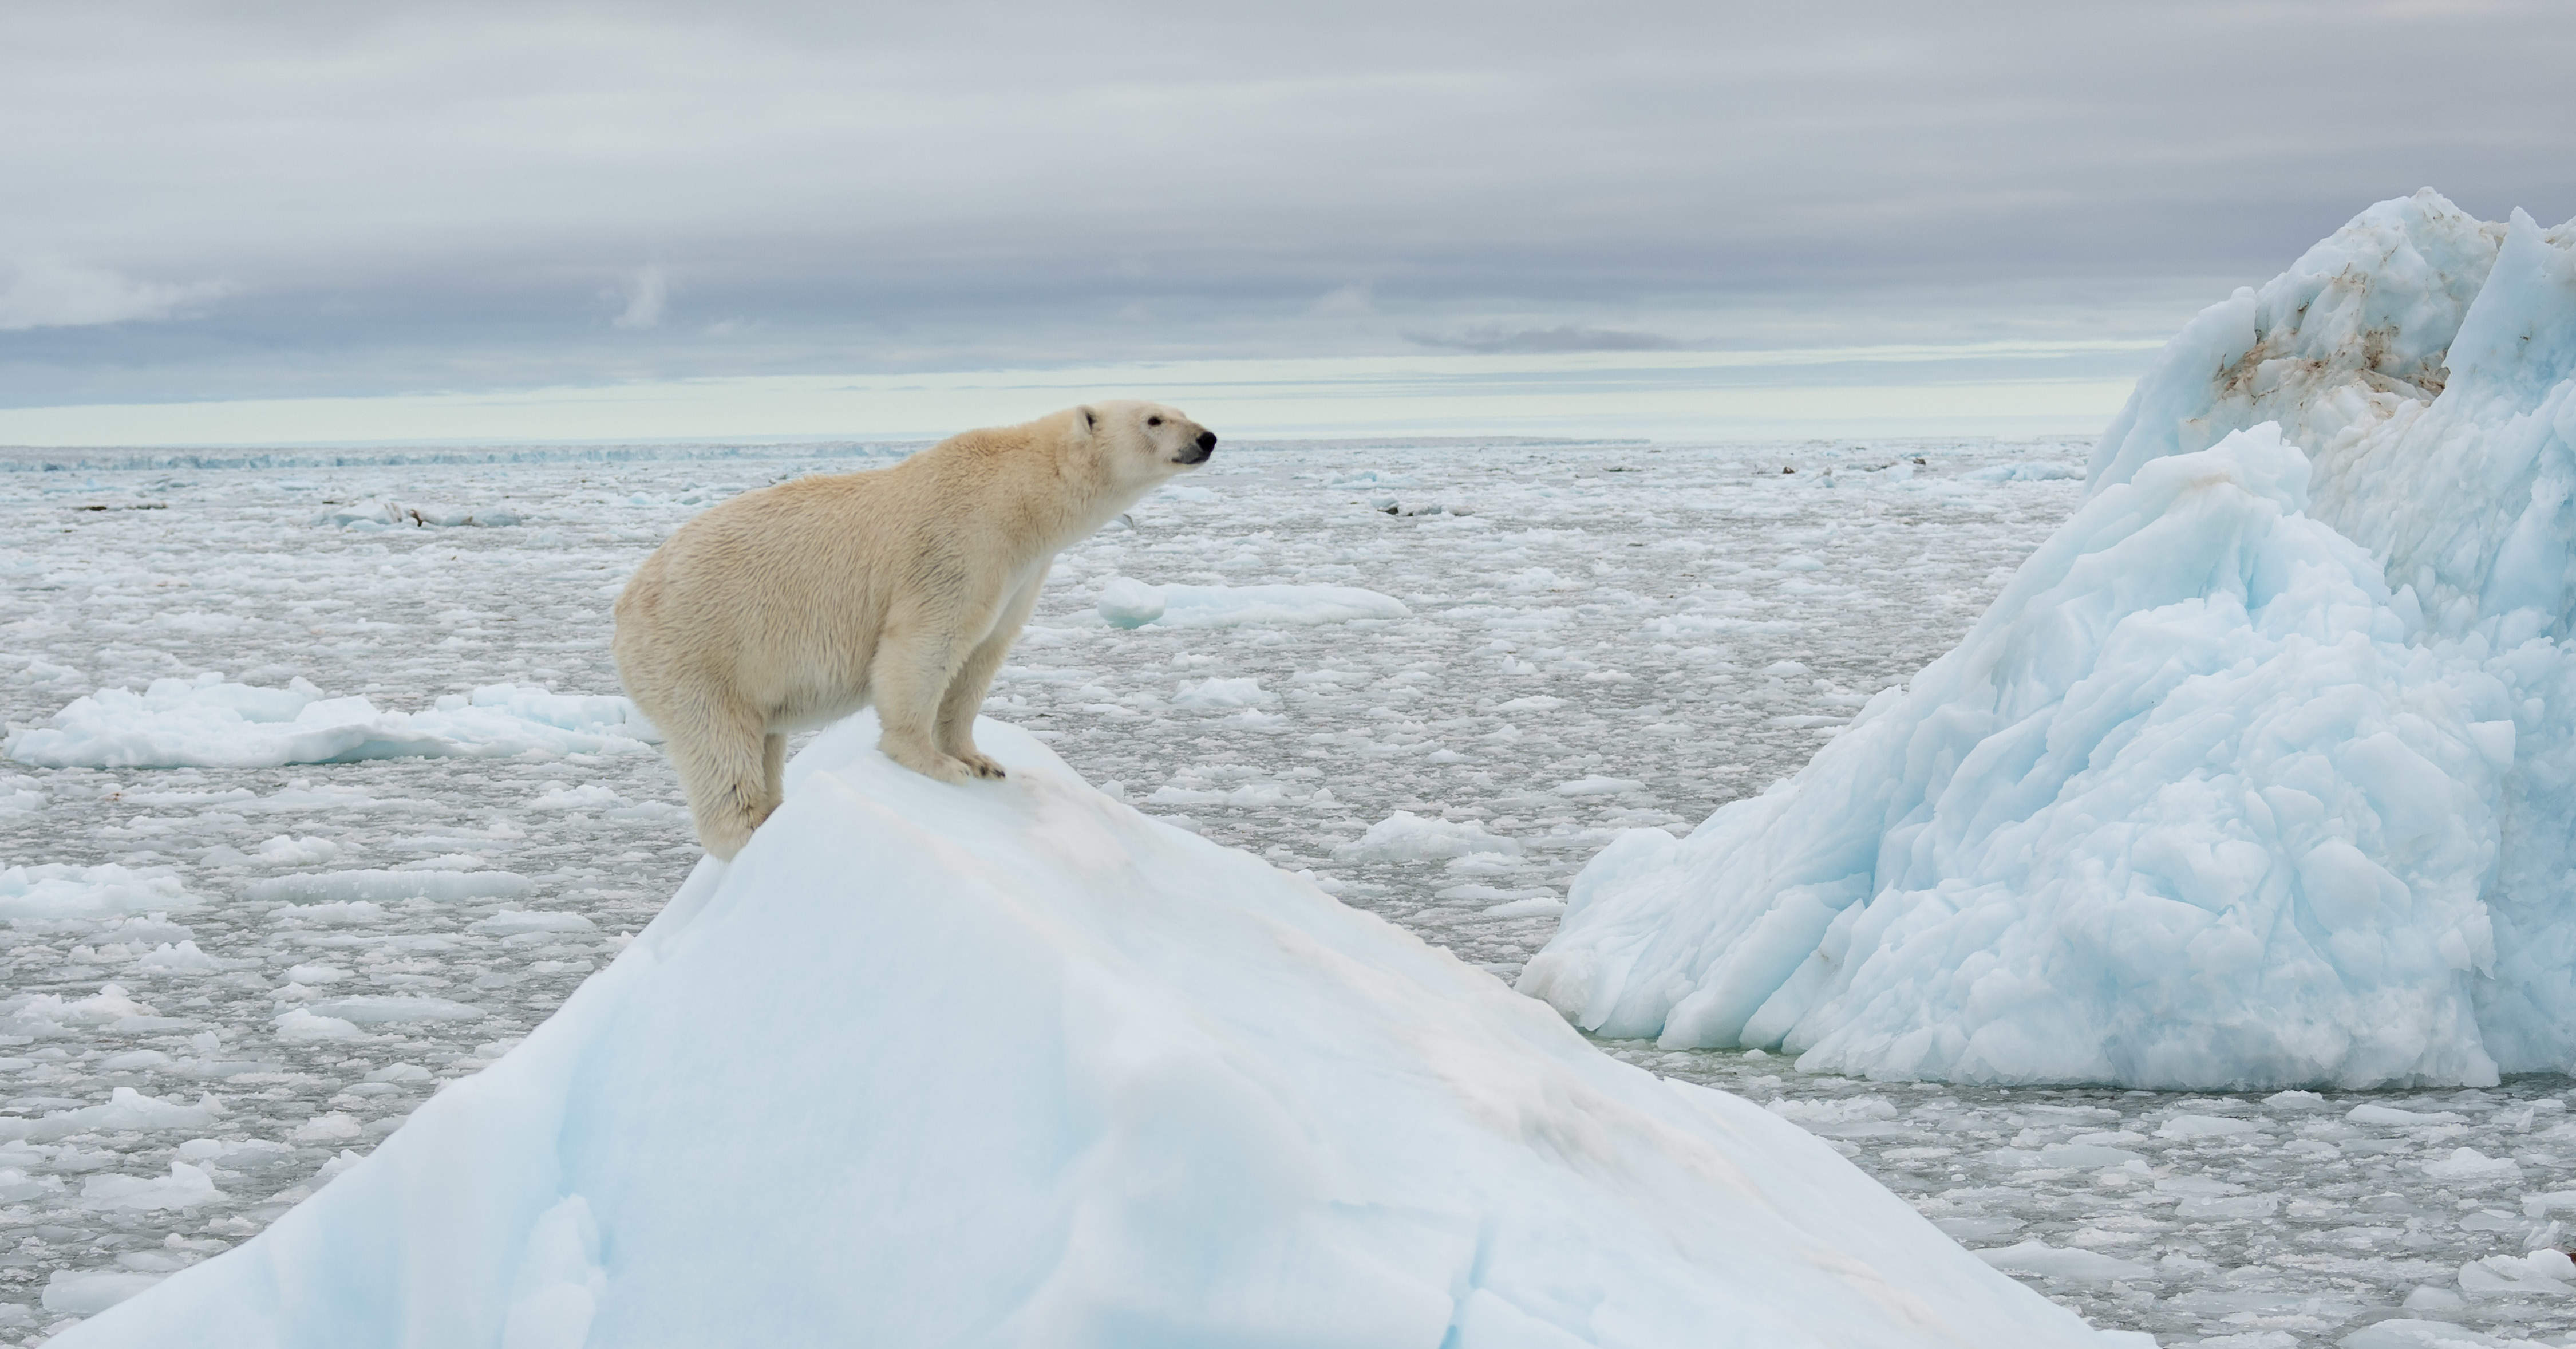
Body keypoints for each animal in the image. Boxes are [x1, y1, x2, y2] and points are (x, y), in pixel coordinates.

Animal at [623, 401, 1226, 859]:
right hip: (700, 654)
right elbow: (926, 643)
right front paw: (933, 762)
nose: (1208, 437)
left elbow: (981, 657)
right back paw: (750, 831)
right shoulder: (960, 544)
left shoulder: (1020, 574)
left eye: (1178, 409)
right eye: (1154, 418)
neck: (1021, 496)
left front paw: (980, 761)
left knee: (765, 740)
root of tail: (624, 608)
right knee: (720, 748)